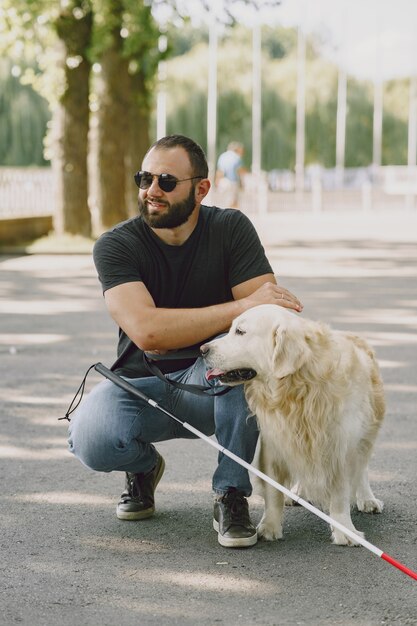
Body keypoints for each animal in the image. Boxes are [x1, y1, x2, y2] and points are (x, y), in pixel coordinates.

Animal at [201, 304, 384, 544]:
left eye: (240, 331)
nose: (202, 349)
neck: (296, 388)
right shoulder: (275, 442)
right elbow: (273, 491)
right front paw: (269, 526)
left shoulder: (341, 446)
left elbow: (340, 492)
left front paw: (344, 530)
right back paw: (297, 492)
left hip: (367, 433)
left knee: (362, 468)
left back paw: (368, 499)